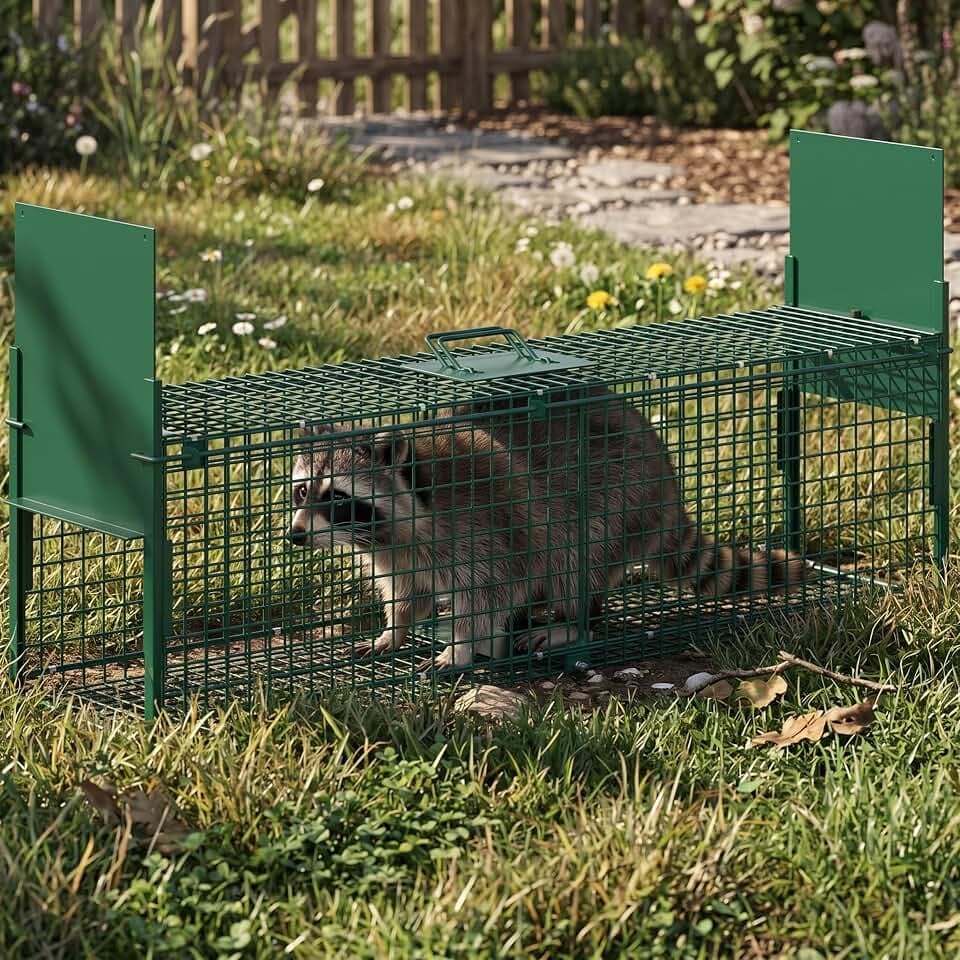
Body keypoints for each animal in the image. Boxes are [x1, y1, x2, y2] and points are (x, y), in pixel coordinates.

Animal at [287, 386, 804, 669]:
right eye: (301, 491)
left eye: (337, 498)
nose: (294, 536)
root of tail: (669, 493)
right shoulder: (399, 557)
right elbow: (406, 595)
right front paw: (393, 631)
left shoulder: (485, 531)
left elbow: (488, 594)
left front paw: (459, 648)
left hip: (620, 502)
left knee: (574, 564)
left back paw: (574, 624)